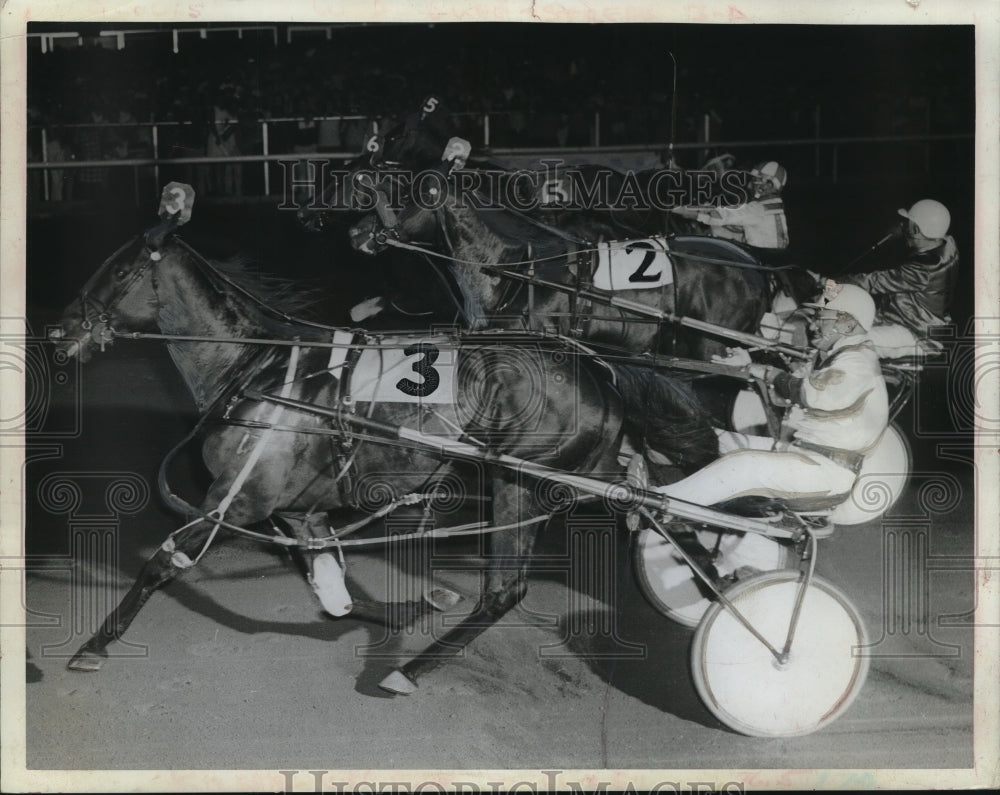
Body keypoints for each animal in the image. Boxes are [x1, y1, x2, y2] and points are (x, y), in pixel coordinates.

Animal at [52, 211, 720, 696]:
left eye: (119, 273)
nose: (60, 332)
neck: (258, 369)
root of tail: (596, 366)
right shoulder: (298, 511)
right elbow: (337, 595)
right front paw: (414, 606)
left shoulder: (235, 502)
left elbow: (161, 564)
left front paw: (94, 646)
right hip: (576, 473)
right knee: (661, 510)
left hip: (519, 483)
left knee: (505, 590)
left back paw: (408, 670)